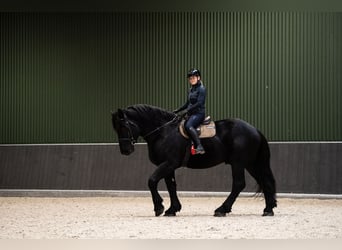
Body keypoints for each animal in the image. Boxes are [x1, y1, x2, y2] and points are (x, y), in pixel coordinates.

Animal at [111, 103, 276, 217]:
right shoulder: (169, 166)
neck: (163, 132)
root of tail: (254, 130)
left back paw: (222, 209)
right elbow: (171, 186)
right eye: (116, 128)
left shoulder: (169, 163)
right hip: (251, 164)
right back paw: (268, 209)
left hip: (238, 163)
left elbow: (152, 181)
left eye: (124, 126)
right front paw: (172, 209)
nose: (125, 150)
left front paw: (159, 207)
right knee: (264, 181)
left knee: (239, 184)